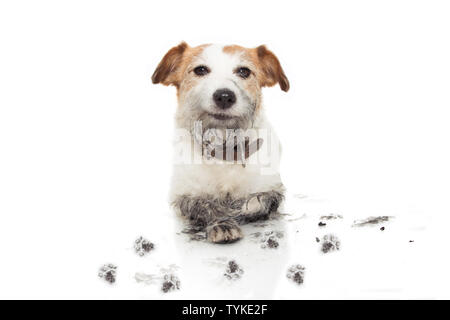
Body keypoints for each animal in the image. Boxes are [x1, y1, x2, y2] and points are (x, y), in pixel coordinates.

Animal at [153, 42, 290, 242]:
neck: (225, 152)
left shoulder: (273, 186)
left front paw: (250, 204)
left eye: (244, 71)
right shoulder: (182, 195)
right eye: (200, 70)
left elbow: (265, 199)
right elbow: (204, 205)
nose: (224, 96)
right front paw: (223, 224)